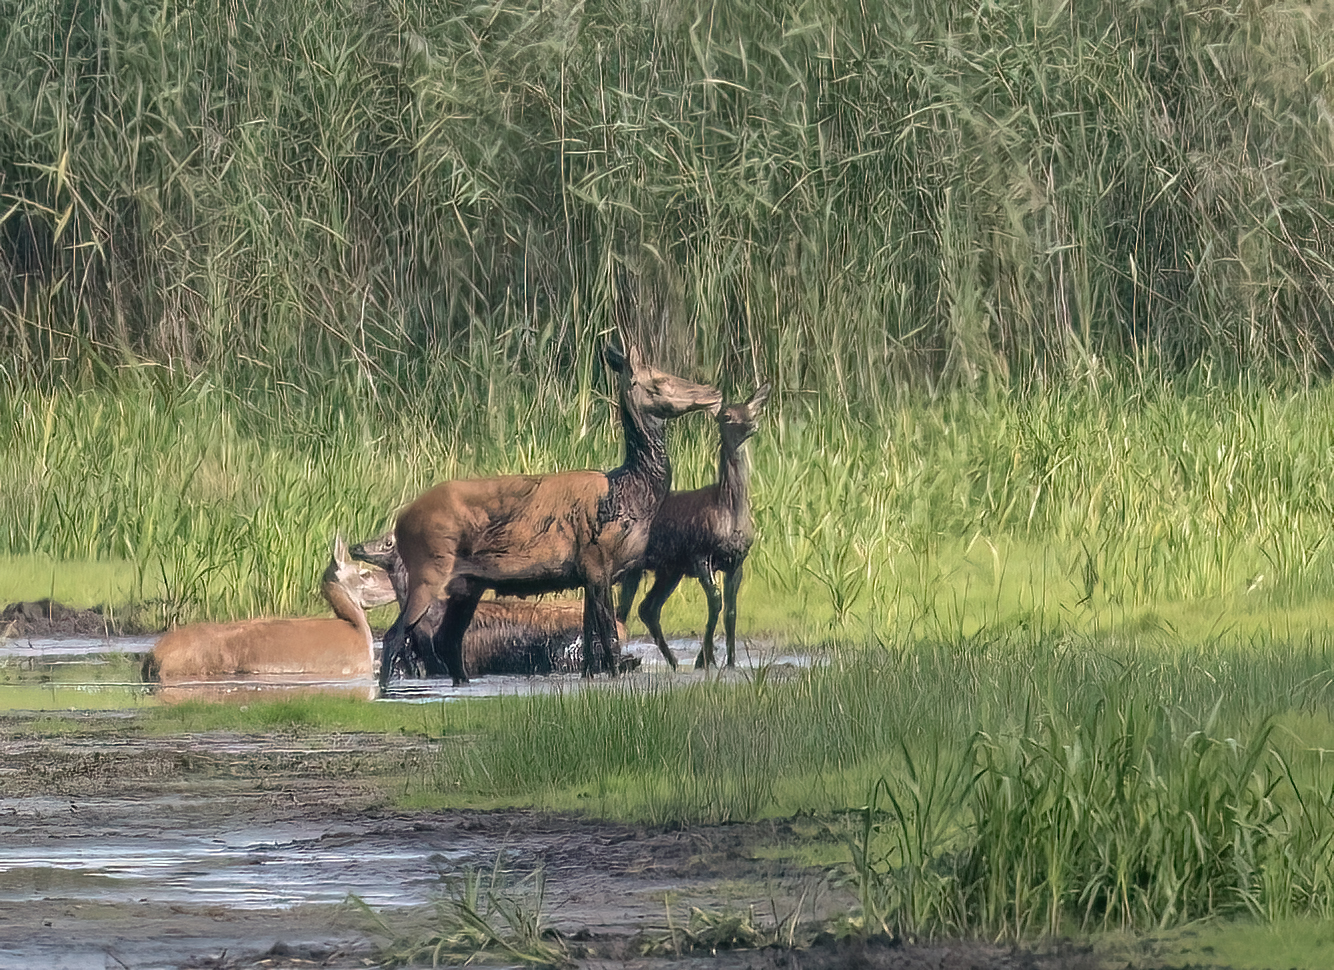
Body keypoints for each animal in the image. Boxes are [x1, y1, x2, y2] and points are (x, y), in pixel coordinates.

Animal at [386, 344, 720, 688]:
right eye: (659, 379)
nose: (713, 392)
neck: (629, 495)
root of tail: (401, 520)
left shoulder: (588, 573)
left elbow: (590, 641)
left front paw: (590, 676)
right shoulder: (597, 563)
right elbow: (610, 636)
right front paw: (615, 677)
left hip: (467, 584)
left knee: (447, 638)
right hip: (428, 569)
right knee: (395, 634)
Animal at [616, 384, 773, 672]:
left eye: (751, 411)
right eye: (726, 416)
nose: (751, 425)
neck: (730, 513)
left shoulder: (737, 561)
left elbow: (731, 611)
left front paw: (729, 661)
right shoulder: (700, 554)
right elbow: (715, 602)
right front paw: (706, 659)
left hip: (670, 569)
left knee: (647, 609)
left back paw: (674, 663)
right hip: (639, 566)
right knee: (624, 610)